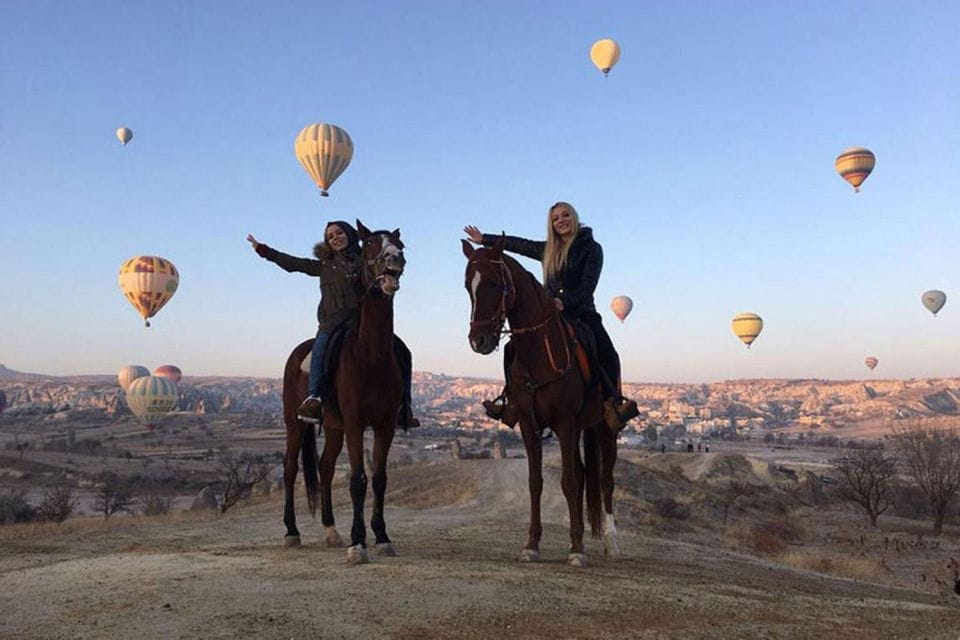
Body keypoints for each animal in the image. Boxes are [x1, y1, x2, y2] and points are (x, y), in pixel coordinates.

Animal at [281, 221, 407, 565]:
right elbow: (357, 481)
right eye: (370, 244)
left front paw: (382, 537)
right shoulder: (354, 423)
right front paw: (358, 543)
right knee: (290, 469)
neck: (371, 355)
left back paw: (330, 530)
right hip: (295, 423)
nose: (395, 260)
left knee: (324, 468)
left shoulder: (385, 425)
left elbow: (379, 479)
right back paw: (292, 531)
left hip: (334, 427)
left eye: (401, 245)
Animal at [462, 237, 621, 567]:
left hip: (603, 426)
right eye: (468, 286)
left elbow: (569, 483)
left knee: (605, 480)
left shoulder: (565, 422)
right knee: (585, 476)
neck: (539, 351)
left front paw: (577, 549)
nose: (478, 341)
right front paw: (532, 544)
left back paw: (611, 543)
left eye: (495, 284)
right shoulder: (529, 423)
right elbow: (536, 482)